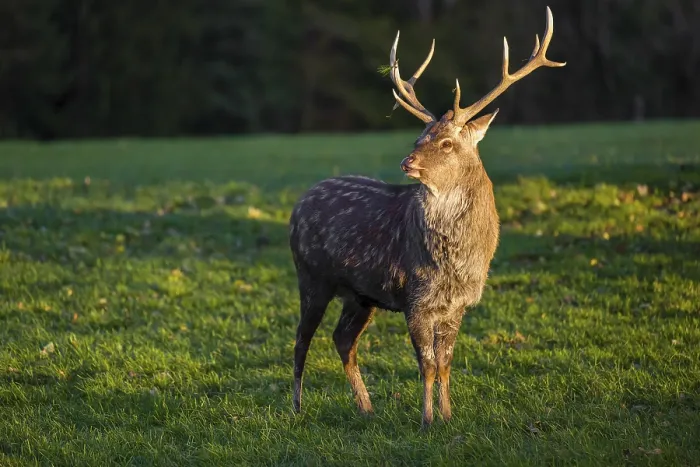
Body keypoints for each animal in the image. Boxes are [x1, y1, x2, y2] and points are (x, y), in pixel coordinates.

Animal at [288, 7, 565, 427]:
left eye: (447, 142)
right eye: (419, 137)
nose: (407, 161)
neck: (456, 263)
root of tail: (298, 205)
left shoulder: (458, 304)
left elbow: (446, 363)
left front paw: (448, 416)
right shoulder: (415, 296)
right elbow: (427, 364)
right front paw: (427, 420)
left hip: (361, 294)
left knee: (343, 339)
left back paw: (366, 408)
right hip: (312, 276)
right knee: (301, 339)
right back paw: (297, 408)